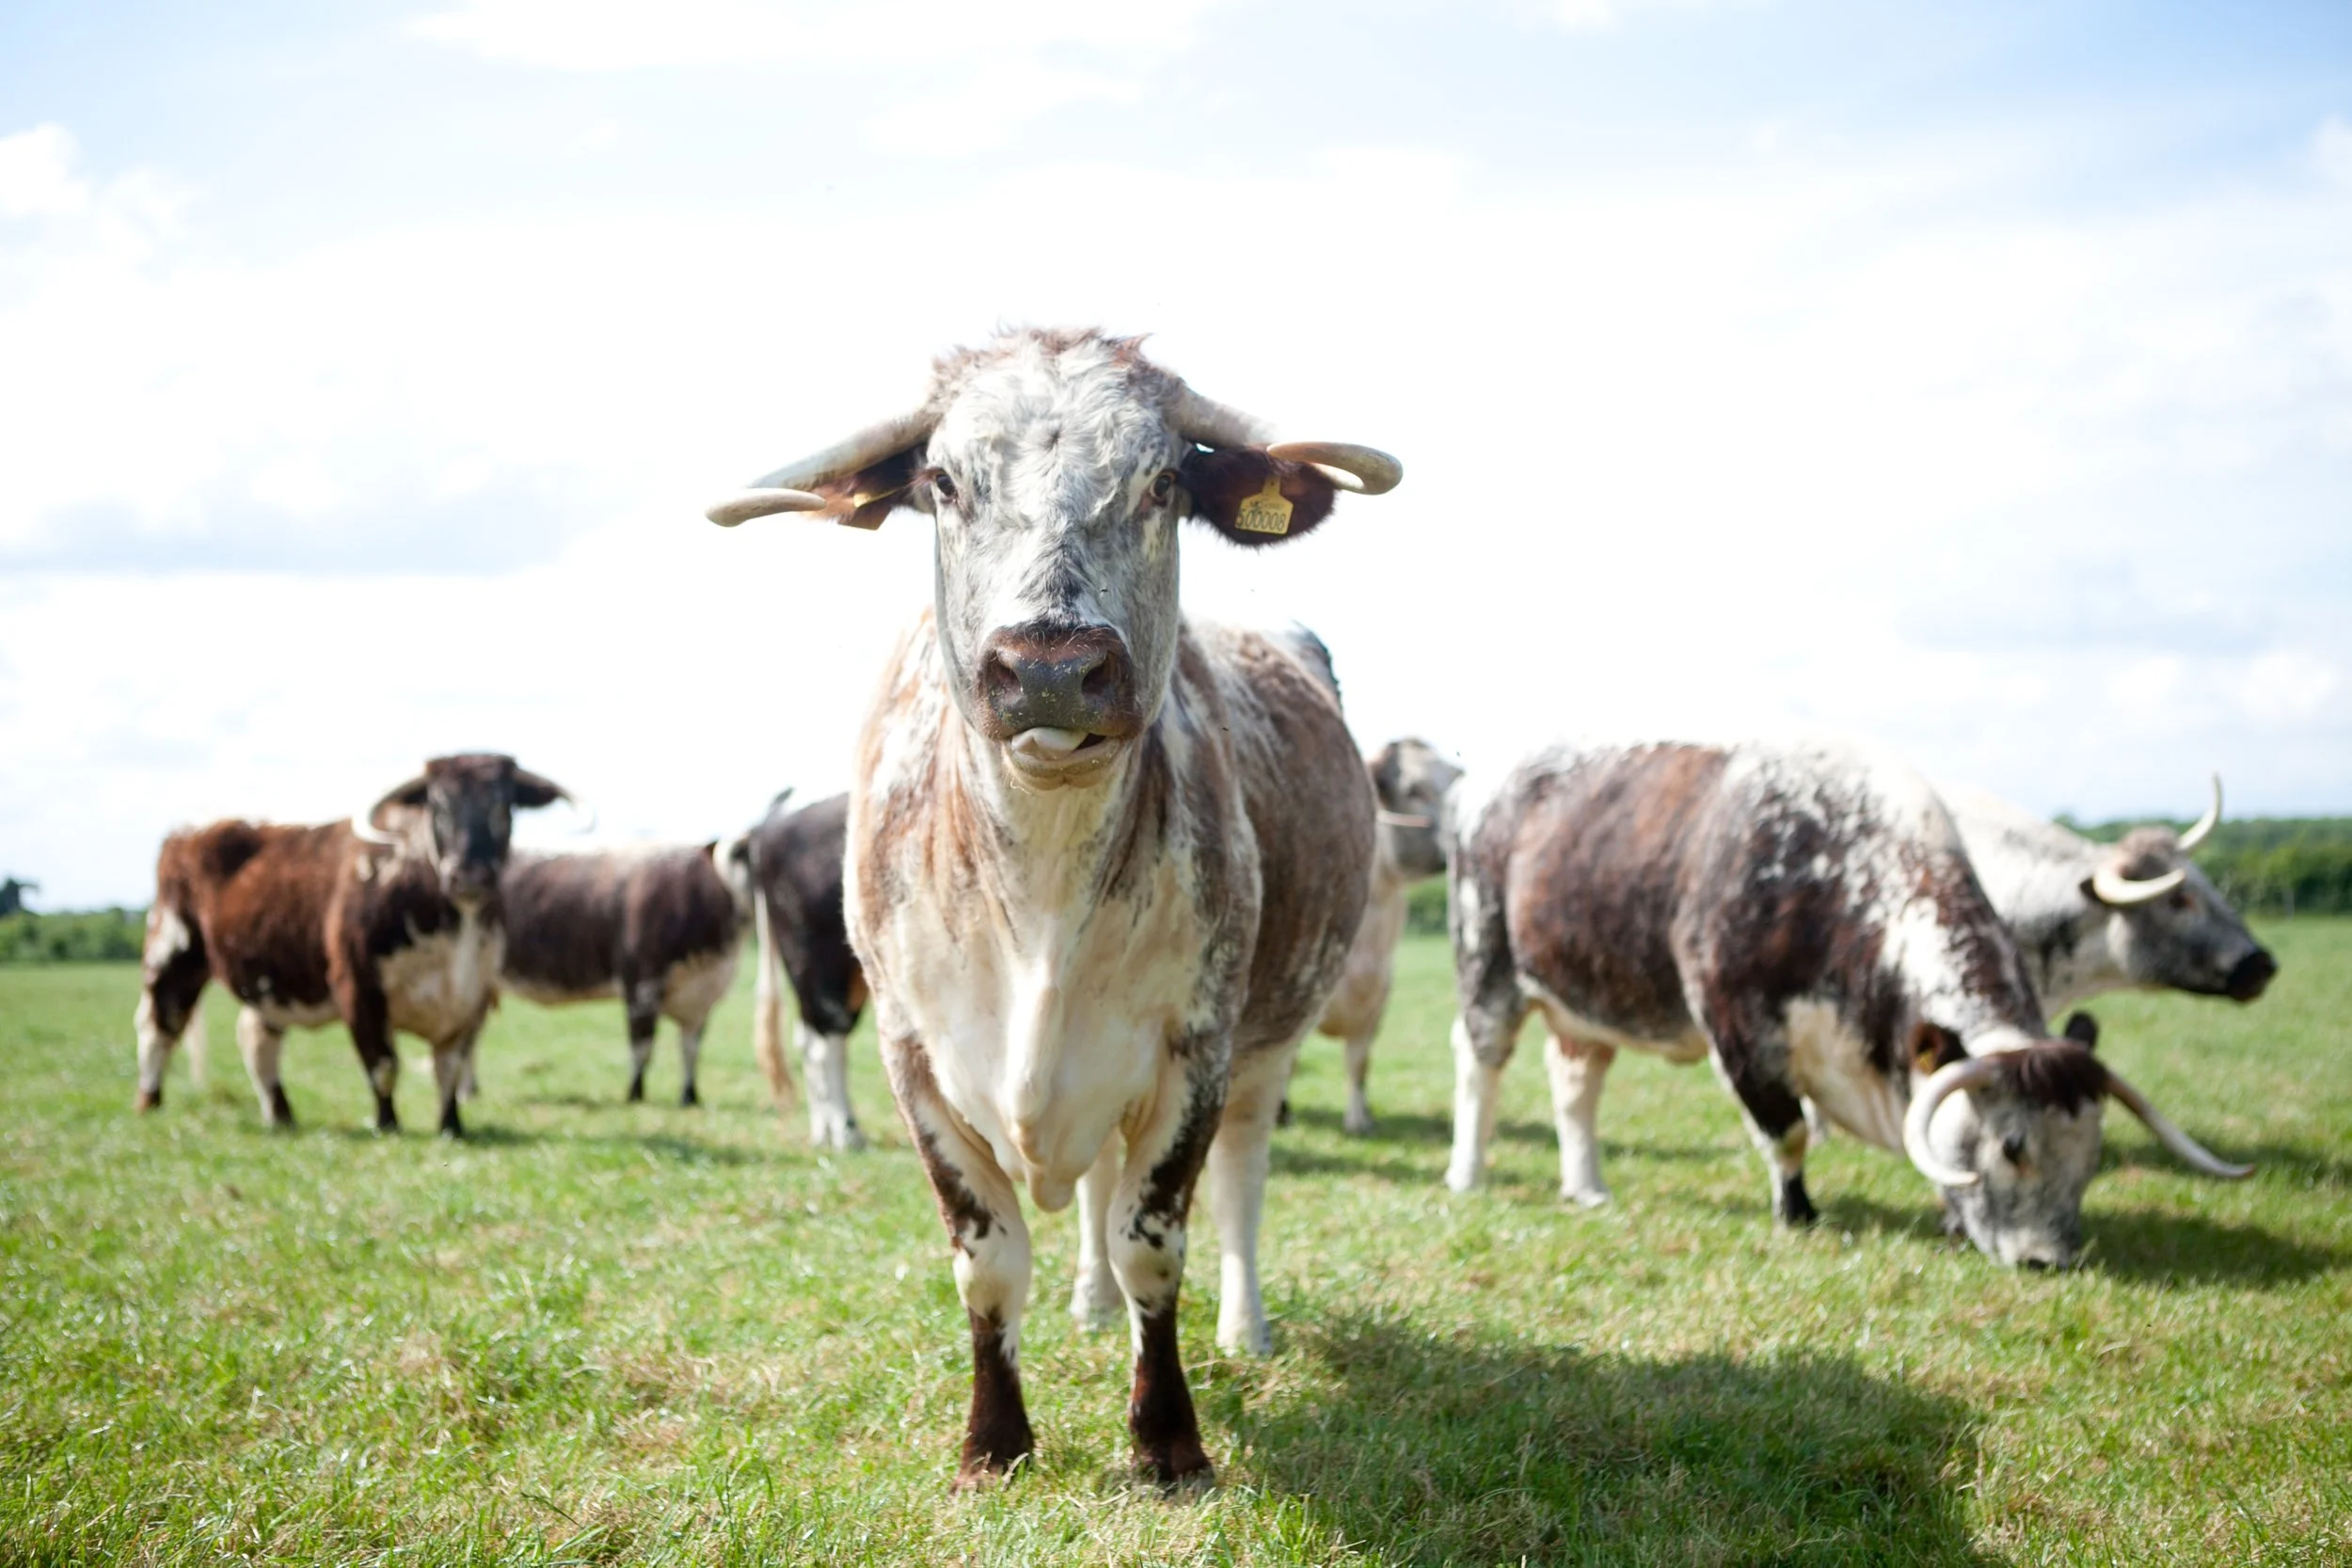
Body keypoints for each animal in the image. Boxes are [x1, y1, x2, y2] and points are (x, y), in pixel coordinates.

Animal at [134, 754, 571, 1136]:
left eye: (503, 805)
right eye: (439, 805)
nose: (470, 874)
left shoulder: (473, 994)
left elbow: (449, 1067)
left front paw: (451, 1126)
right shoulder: (359, 986)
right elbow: (383, 1065)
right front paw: (387, 1124)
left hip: (267, 979)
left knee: (257, 1039)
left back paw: (281, 1114)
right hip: (173, 950)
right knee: (160, 1023)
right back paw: (149, 1102)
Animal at [496, 842, 750, 1107]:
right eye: (737, 854)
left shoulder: (700, 1000)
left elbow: (691, 1050)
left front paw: (689, 1096)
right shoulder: (641, 987)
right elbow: (641, 1046)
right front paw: (635, 1094)